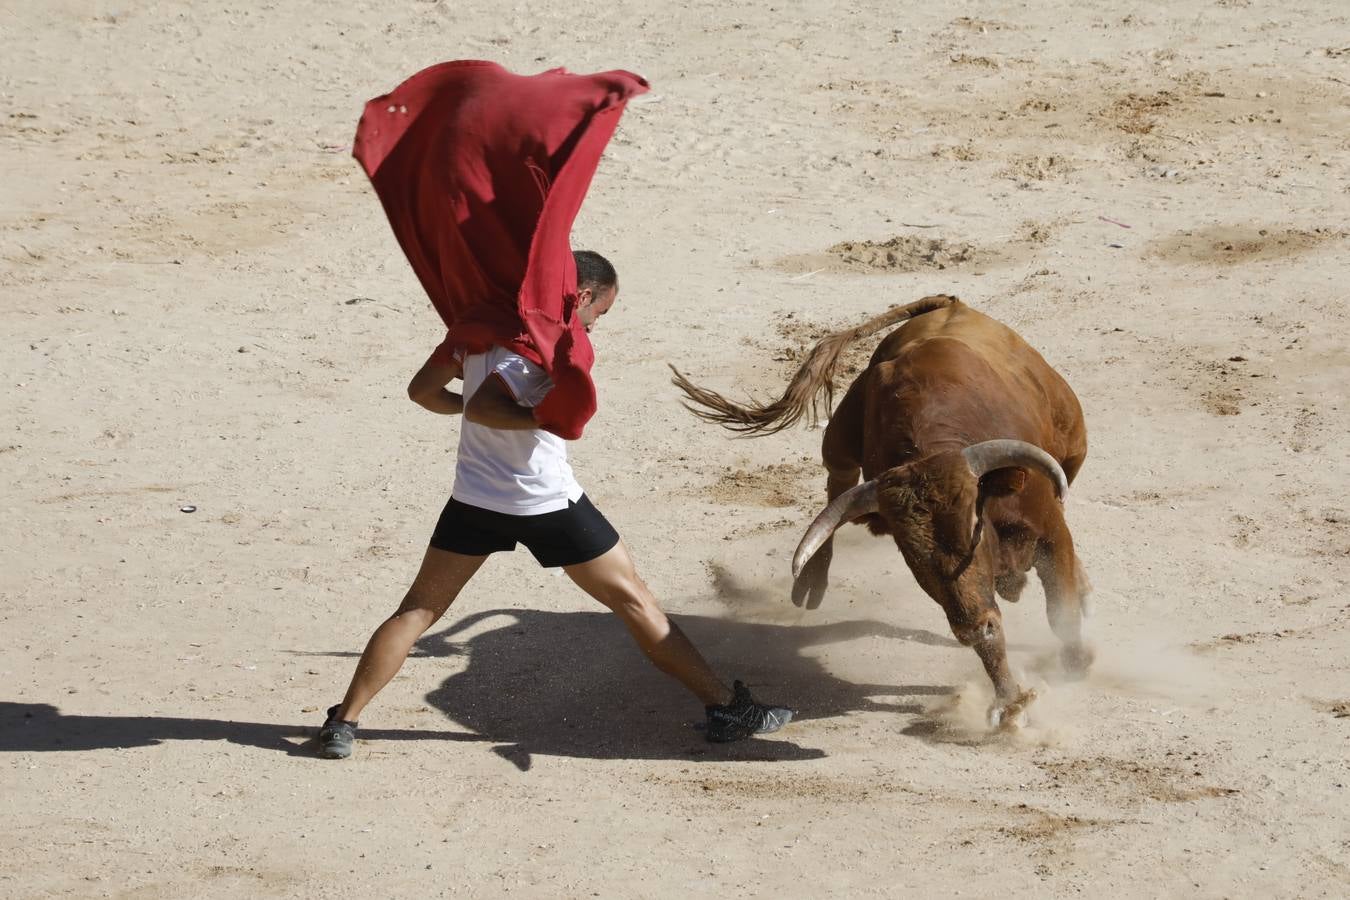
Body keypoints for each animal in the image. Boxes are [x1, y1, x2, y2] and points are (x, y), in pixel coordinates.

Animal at [669, 295, 1090, 723]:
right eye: (910, 553)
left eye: (974, 521)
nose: (968, 629)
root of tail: (949, 304)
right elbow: (991, 631)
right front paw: (1010, 703)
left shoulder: (1052, 532)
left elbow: (1060, 608)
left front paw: (1077, 662)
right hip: (840, 434)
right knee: (837, 478)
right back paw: (812, 580)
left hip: (1074, 445)